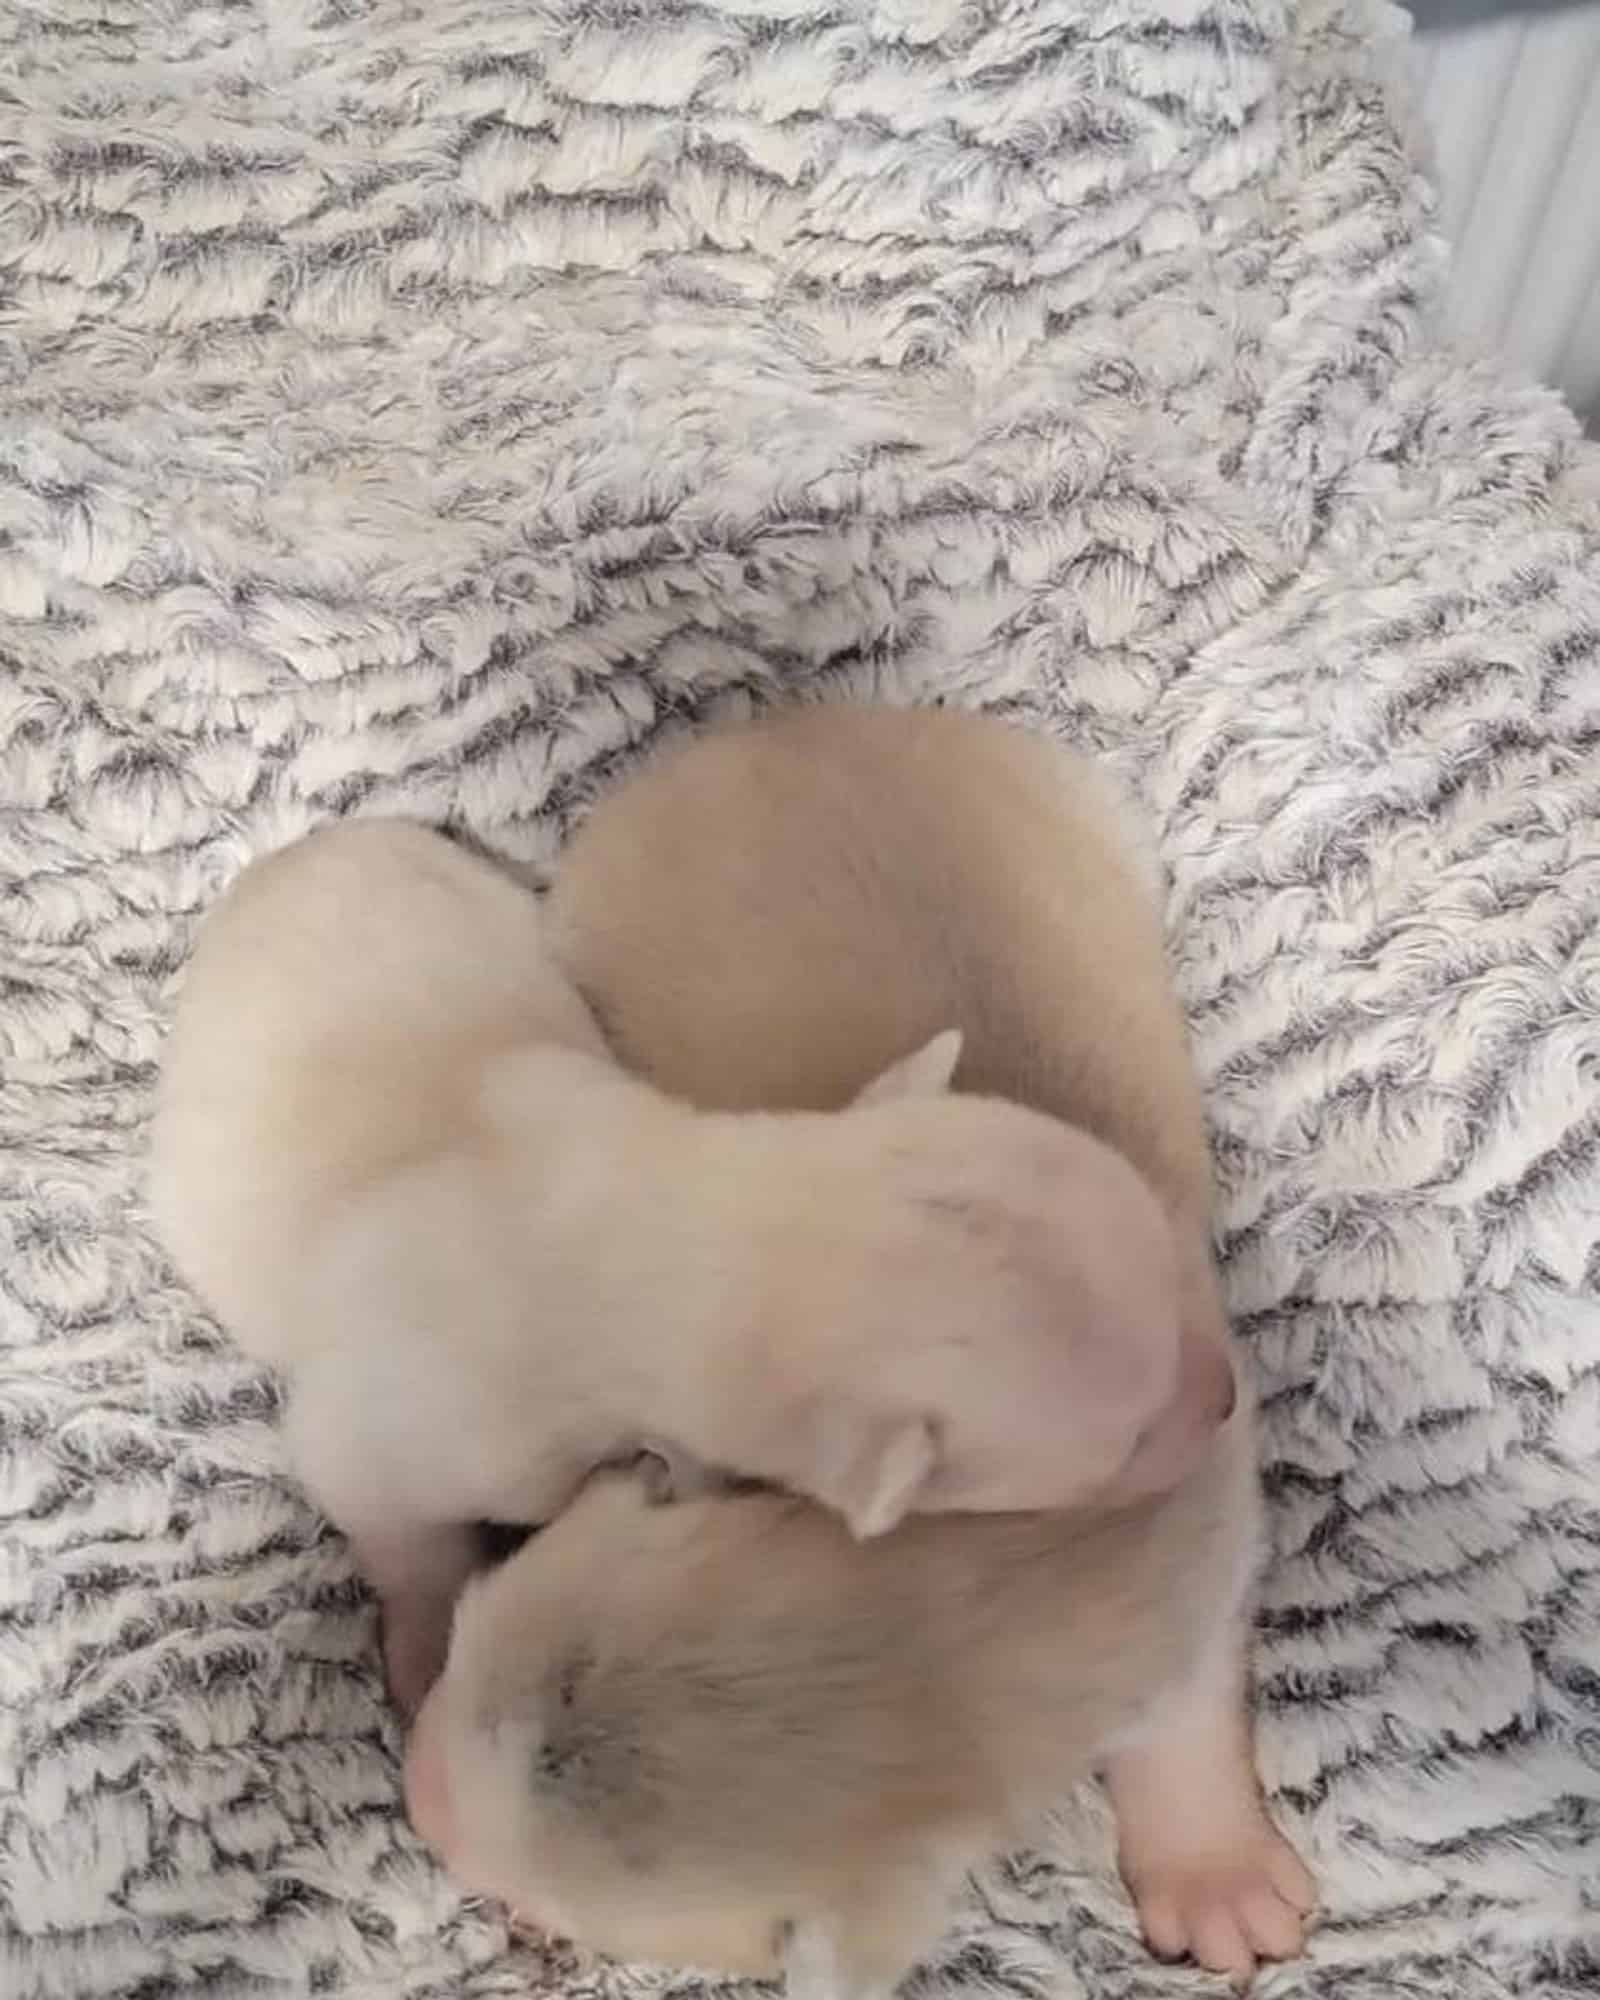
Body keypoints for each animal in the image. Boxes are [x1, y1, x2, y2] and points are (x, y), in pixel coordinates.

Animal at [147, 812, 1200, 1704]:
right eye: (1126, 1444)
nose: (1223, 1399)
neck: (685, 1223)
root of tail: (290, 856)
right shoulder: (419, 1417)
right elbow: (391, 1518)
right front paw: (421, 1656)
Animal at [400, 700, 1312, 1984]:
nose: (415, 1792)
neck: (963, 1603)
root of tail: (777, 724)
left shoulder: (1192, 1558)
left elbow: (1185, 1701)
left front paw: (1219, 1876)